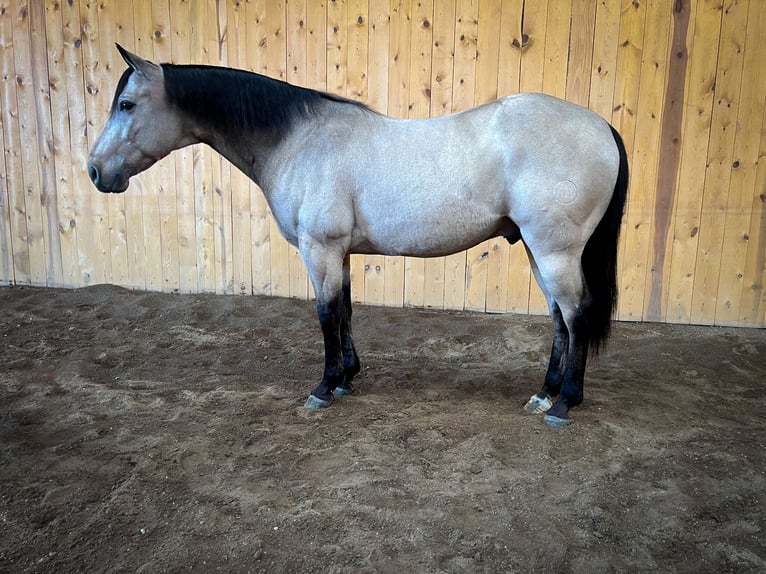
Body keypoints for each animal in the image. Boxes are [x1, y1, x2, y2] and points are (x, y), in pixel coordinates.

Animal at [90, 45, 632, 430]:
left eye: (126, 103)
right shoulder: (340, 252)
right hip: (542, 252)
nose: (96, 171)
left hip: (555, 250)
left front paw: (324, 386)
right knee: (560, 319)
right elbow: (345, 311)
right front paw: (347, 378)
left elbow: (326, 314)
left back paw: (564, 404)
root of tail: (600, 125)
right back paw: (544, 394)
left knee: (577, 314)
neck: (300, 140)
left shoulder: (320, 248)